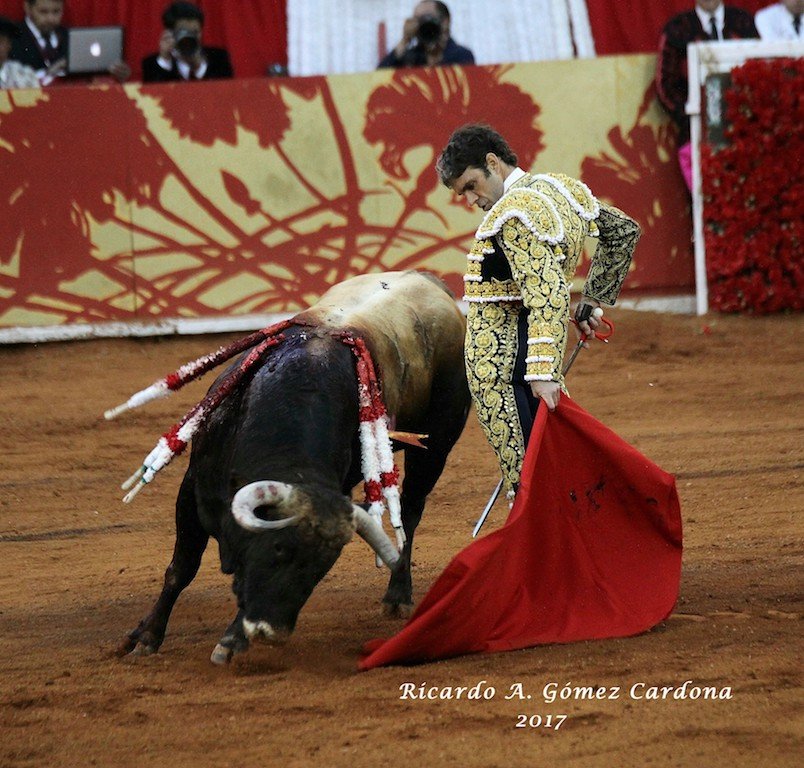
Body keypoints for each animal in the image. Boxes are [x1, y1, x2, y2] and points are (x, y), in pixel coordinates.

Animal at [116, 270, 471, 663]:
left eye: (321, 569)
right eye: (279, 549)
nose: (272, 632)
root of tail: (431, 283)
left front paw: (232, 639)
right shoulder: (192, 492)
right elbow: (181, 569)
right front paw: (145, 636)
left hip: (437, 445)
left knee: (409, 511)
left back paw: (398, 595)